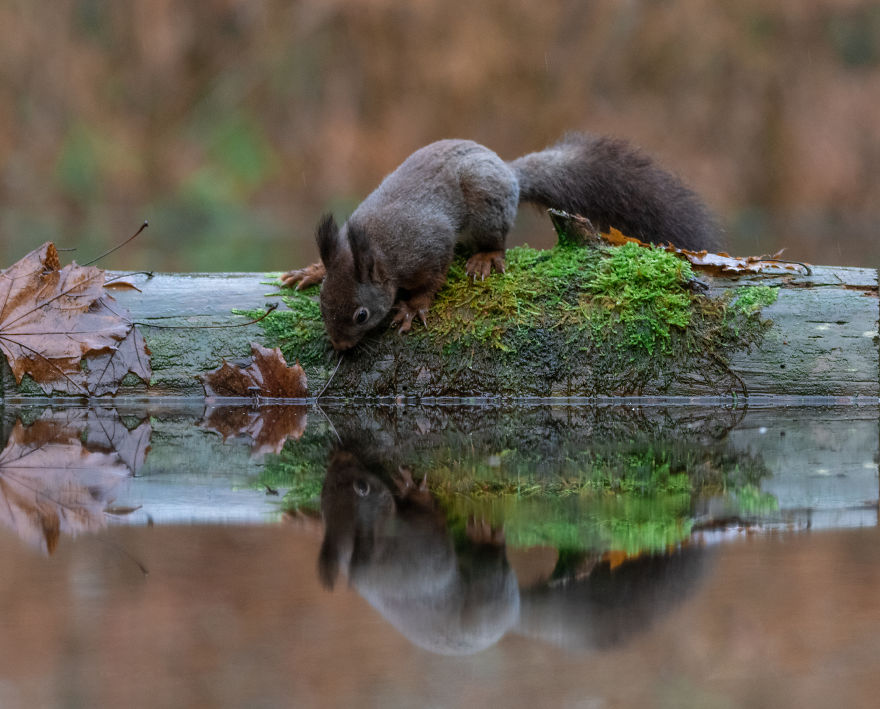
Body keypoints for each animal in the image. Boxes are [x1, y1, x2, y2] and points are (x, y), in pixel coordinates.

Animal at [282, 132, 721, 351]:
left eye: (361, 315)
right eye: (322, 305)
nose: (339, 346)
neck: (376, 249)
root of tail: (509, 172)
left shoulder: (429, 245)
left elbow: (431, 280)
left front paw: (412, 307)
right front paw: (313, 270)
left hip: (487, 208)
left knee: (496, 240)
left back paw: (485, 257)